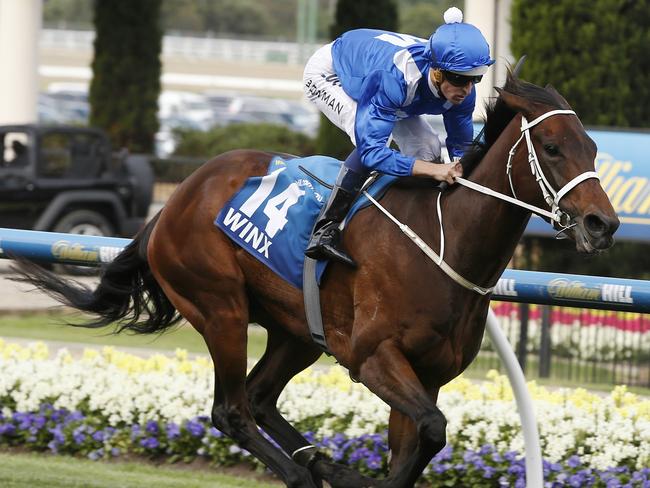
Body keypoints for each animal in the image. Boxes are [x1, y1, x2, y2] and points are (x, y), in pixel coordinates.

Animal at [17, 73, 616, 488]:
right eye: (553, 149)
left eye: (592, 147)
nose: (602, 224)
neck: (444, 243)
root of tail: (173, 203)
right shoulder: (373, 357)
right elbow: (431, 430)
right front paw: (358, 477)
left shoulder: (427, 375)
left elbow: (419, 439)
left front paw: (357, 470)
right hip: (220, 308)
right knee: (232, 410)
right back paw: (309, 471)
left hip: (298, 331)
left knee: (260, 399)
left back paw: (318, 462)